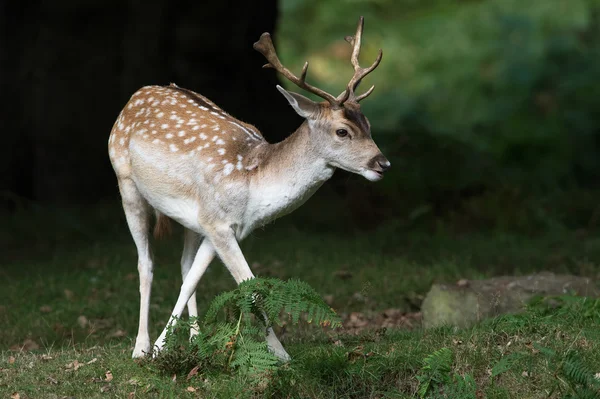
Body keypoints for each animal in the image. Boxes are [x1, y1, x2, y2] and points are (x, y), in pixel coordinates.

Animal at [108, 16, 390, 362]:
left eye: (368, 125)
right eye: (342, 131)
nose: (382, 163)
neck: (254, 188)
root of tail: (135, 96)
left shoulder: (220, 226)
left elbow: (196, 279)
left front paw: (172, 346)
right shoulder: (217, 224)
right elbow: (252, 286)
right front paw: (282, 356)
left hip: (189, 218)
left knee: (184, 267)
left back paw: (194, 340)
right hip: (126, 183)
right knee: (145, 263)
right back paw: (140, 347)